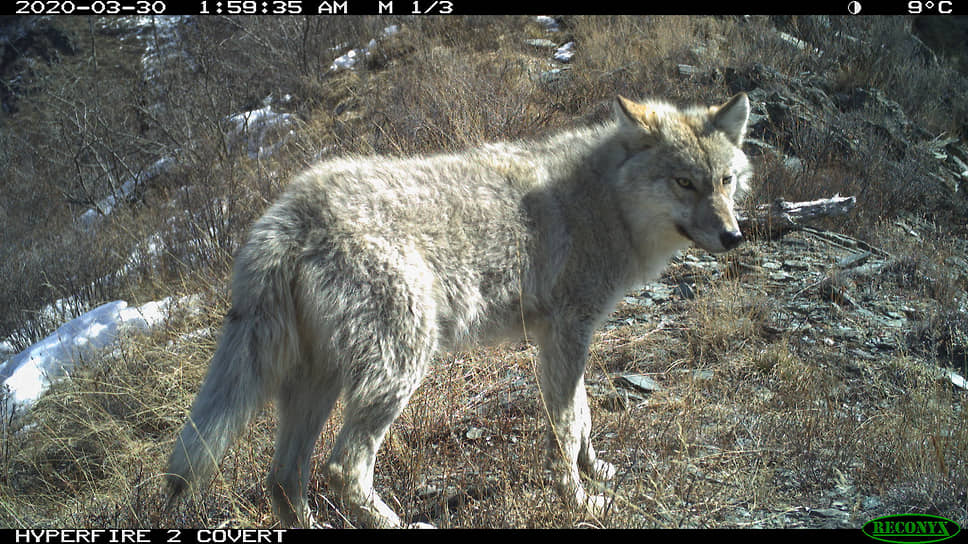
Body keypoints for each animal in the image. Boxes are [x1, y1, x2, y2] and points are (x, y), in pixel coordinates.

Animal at [166, 92, 752, 528]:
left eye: (725, 181)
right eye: (683, 182)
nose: (734, 237)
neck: (603, 201)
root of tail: (290, 210)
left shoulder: (563, 338)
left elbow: (582, 417)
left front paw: (597, 470)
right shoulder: (568, 333)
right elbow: (565, 427)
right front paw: (580, 500)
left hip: (321, 384)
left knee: (284, 479)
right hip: (398, 368)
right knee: (342, 467)